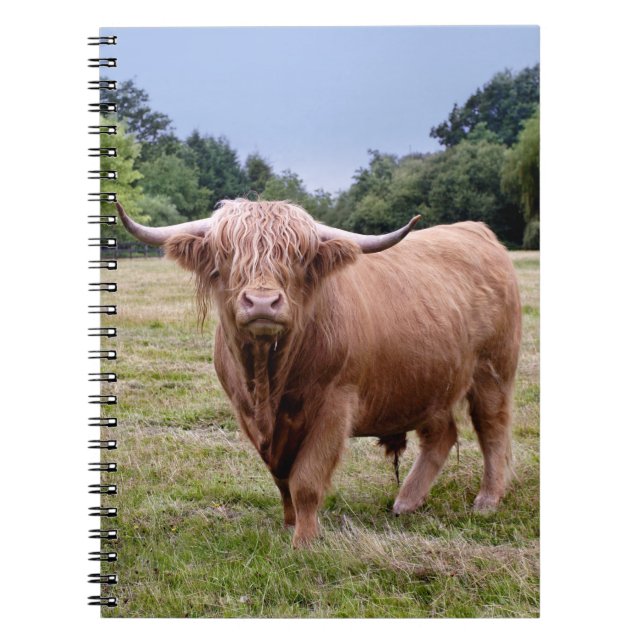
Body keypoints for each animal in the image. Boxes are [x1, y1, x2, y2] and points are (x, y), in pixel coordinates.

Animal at [116, 199, 521, 547]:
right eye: (226, 254)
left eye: (298, 257)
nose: (262, 302)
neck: (269, 383)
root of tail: (477, 231)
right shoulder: (248, 414)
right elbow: (281, 478)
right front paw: (289, 522)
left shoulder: (334, 406)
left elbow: (306, 479)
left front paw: (305, 540)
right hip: (428, 380)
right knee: (441, 435)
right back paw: (406, 502)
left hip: (492, 372)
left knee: (492, 430)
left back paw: (487, 500)